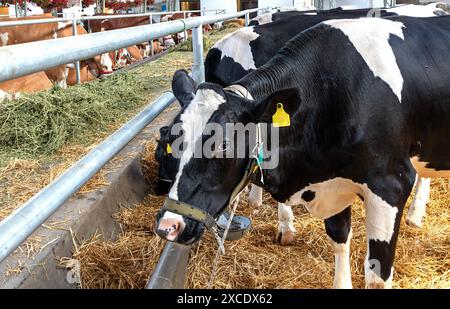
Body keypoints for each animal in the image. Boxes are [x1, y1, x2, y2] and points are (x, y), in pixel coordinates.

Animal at [156, 15, 450, 288]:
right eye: (173, 141)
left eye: (223, 144)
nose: (168, 226)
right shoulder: (332, 180)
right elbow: (339, 237)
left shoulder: (391, 183)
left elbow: (377, 275)